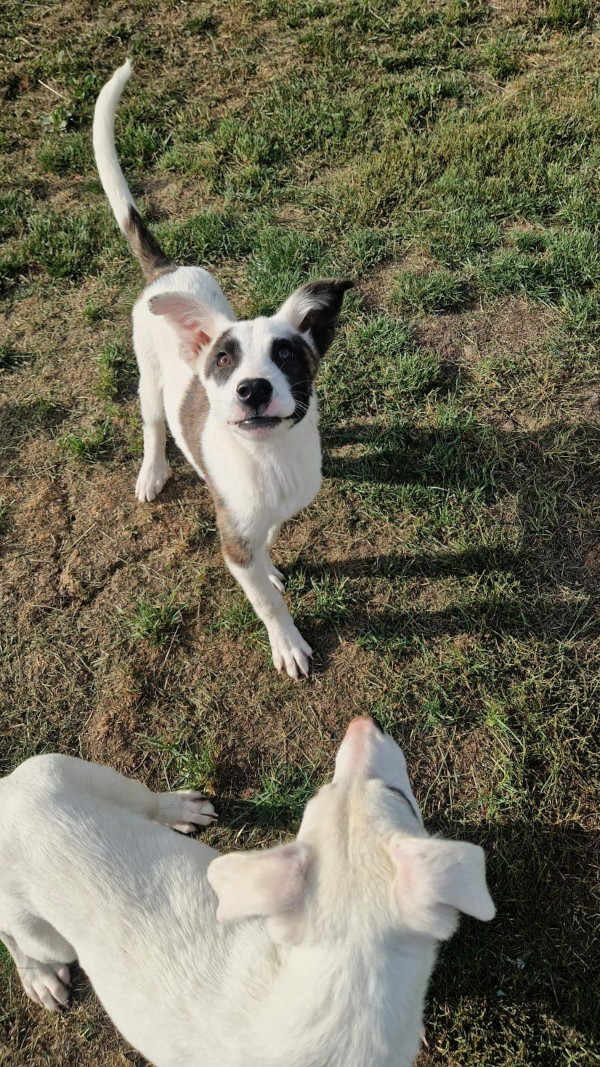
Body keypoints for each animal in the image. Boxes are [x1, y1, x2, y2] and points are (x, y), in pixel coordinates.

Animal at [0, 717, 494, 1066]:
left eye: (320, 794)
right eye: (400, 795)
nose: (362, 722)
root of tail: (7, 796)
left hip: (83, 774)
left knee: (146, 802)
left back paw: (180, 809)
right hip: (44, 930)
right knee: (17, 939)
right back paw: (39, 978)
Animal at [92, 61, 352, 679]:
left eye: (287, 354)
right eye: (224, 361)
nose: (252, 390)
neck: (270, 457)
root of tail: (166, 272)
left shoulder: (279, 507)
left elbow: (270, 538)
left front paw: (274, 561)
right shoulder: (231, 544)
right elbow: (265, 599)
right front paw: (287, 642)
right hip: (148, 382)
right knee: (152, 426)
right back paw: (152, 471)